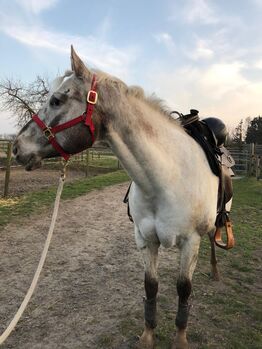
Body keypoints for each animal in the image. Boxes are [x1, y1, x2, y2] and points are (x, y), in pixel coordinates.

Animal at [13, 47, 227, 348]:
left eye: (56, 100)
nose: (17, 147)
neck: (167, 178)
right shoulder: (145, 239)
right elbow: (151, 287)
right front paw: (147, 336)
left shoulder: (190, 242)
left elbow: (184, 290)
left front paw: (180, 339)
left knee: (213, 240)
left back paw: (215, 271)